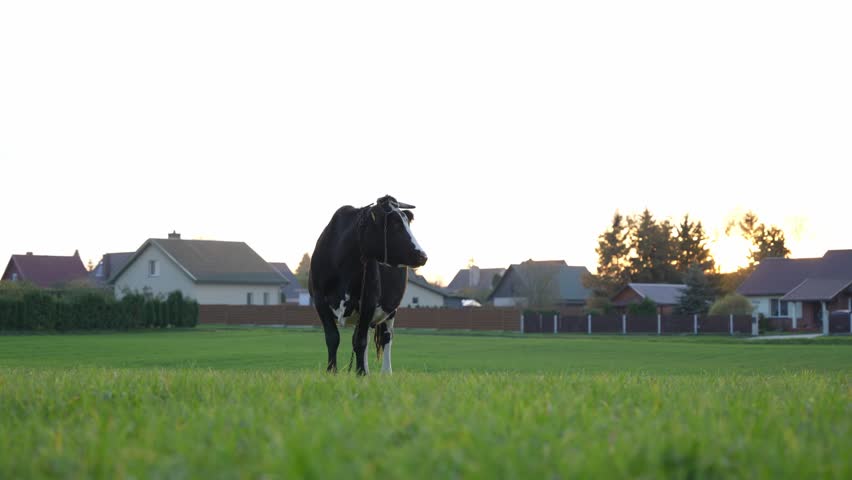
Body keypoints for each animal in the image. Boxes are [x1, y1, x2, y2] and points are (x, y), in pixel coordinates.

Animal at [309, 195, 428, 375]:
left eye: (407, 222)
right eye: (395, 224)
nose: (422, 255)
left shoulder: (368, 300)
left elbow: (360, 341)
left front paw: (361, 374)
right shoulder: (319, 299)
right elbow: (333, 338)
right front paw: (332, 372)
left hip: (390, 309)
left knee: (386, 337)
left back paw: (385, 372)